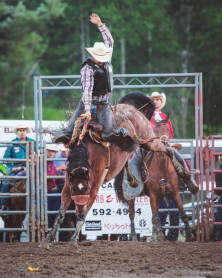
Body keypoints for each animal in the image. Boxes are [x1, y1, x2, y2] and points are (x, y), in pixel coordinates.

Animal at [40, 103, 167, 247]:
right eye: (74, 190)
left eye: (87, 189)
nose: (79, 208)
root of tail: (132, 108)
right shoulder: (67, 186)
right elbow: (60, 214)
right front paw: (46, 240)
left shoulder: (94, 188)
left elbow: (83, 216)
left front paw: (73, 240)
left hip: (148, 140)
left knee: (163, 146)